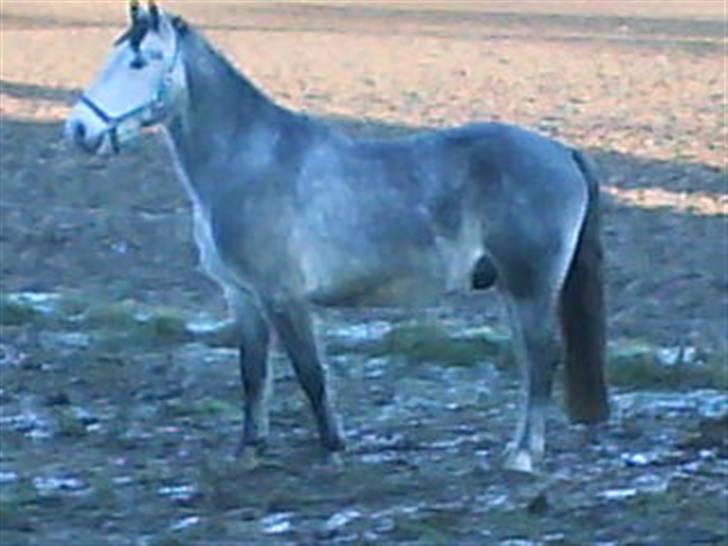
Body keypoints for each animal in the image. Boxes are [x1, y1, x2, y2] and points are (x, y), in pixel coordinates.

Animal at [64, 1, 608, 472]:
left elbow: (311, 374)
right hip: (514, 289)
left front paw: (332, 449)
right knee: (530, 360)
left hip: (530, 286)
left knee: (542, 358)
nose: (79, 130)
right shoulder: (242, 296)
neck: (251, 160)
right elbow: (252, 374)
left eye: (140, 61)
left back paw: (524, 455)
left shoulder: (282, 296)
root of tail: (563, 152)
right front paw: (250, 449)